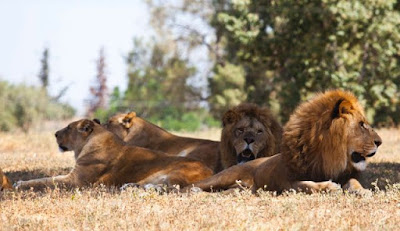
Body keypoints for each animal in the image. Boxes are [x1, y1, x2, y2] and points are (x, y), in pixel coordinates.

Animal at [15, 118, 212, 190]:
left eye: (69, 127)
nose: (55, 134)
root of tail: (210, 171)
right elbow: (47, 178)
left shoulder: (76, 181)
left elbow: (44, 180)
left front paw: (20, 183)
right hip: (153, 176)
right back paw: (129, 187)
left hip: (170, 173)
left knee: (172, 188)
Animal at [186, 89, 382, 194]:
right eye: (362, 125)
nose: (379, 142)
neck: (330, 158)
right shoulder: (287, 183)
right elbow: (307, 185)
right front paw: (329, 186)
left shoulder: (346, 175)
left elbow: (354, 182)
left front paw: (363, 191)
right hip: (223, 176)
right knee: (192, 186)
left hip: (241, 188)